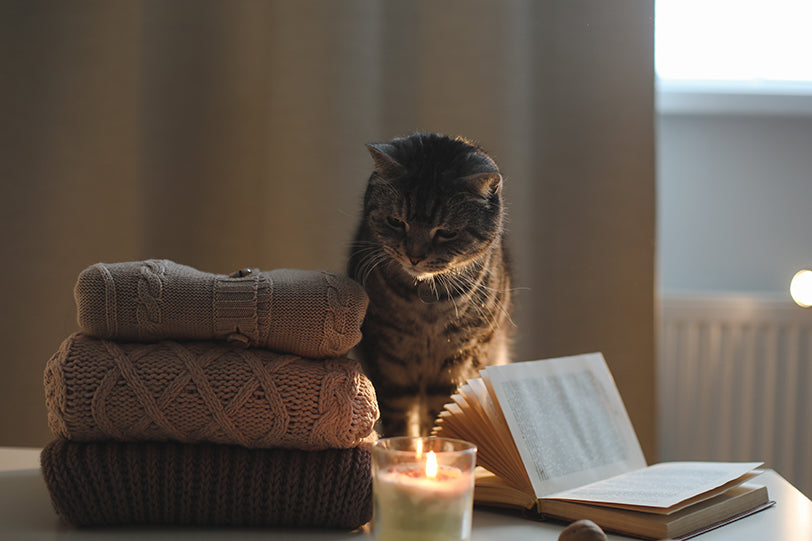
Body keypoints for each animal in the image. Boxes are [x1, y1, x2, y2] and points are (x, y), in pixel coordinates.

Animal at [346, 133, 510, 436]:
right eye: (396, 222)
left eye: (446, 233)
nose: (415, 256)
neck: (427, 307)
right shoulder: (389, 359)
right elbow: (400, 418)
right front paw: (405, 445)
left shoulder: (459, 360)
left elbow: (443, 412)